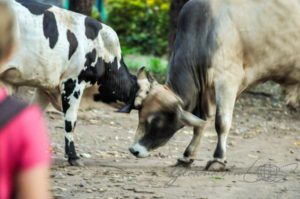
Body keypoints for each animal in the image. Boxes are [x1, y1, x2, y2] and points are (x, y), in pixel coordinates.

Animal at [129, 0, 300, 171]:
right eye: (139, 114)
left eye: (156, 120)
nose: (133, 150)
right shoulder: (207, 92)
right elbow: (201, 124)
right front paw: (187, 156)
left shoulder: (227, 80)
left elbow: (221, 122)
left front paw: (218, 159)